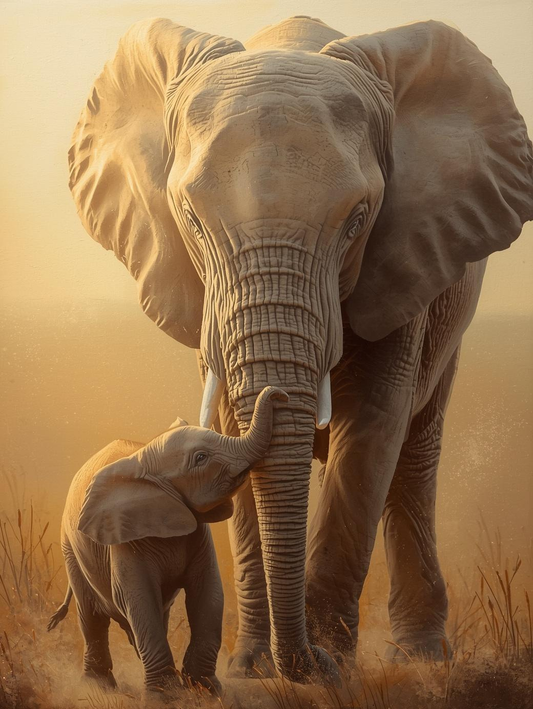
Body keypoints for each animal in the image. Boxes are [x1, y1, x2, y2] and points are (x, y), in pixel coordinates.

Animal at [48, 386, 287, 694]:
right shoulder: (124, 536)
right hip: (70, 549)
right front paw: (167, 697)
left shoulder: (197, 531)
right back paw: (97, 687)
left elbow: (208, 593)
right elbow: (137, 597)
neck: (144, 458)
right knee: (91, 616)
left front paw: (205, 691)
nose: (279, 394)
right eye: (200, 458)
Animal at [67, 14, 533, 684]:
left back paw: (419, 657)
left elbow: (371, 429)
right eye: (193, 221)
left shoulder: (405, 259)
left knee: (413, 454)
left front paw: (330, 670)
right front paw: (253, 668)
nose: (311, 660)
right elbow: (232, 425)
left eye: (358, 218)